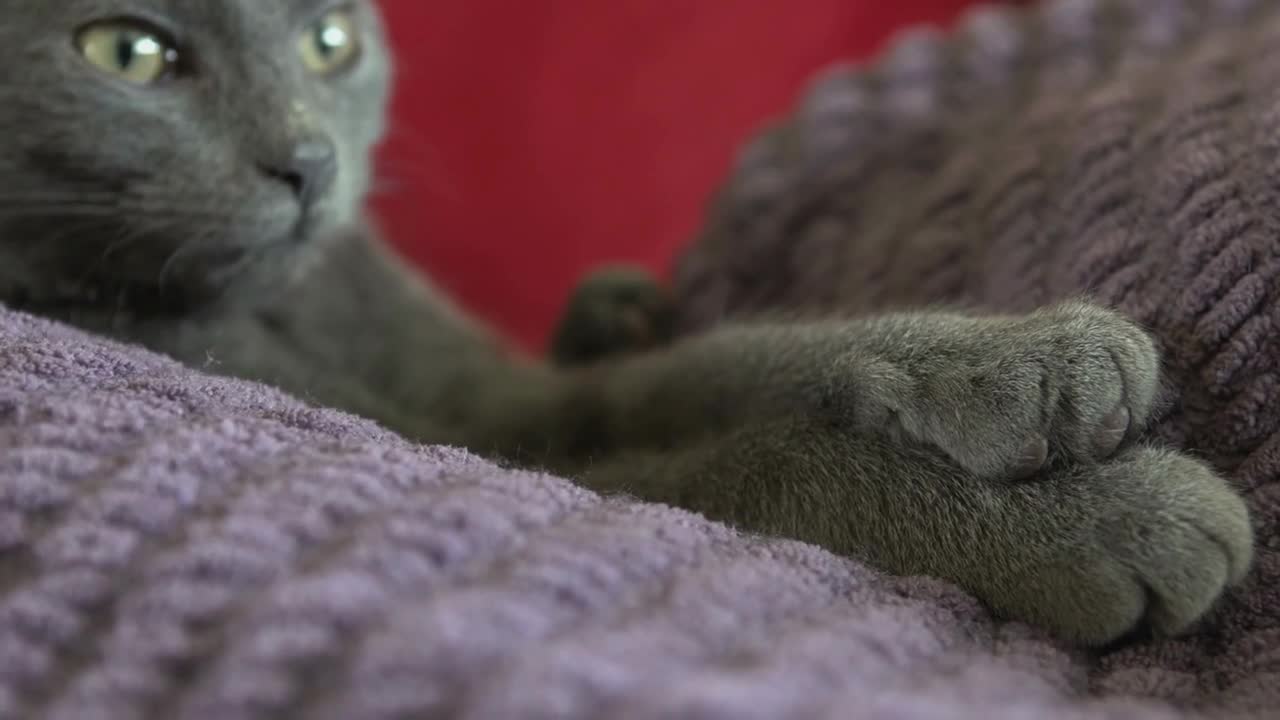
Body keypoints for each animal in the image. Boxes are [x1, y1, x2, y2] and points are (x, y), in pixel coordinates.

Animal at [0, 0, 1249, 648]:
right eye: (128, 52)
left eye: (329, 41)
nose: (309, 161)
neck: (281, 306)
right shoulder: (479, 442)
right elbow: (748, 462)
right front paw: (1113, 524)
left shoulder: (504, 398)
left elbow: (717, 367)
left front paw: (1028, 361)